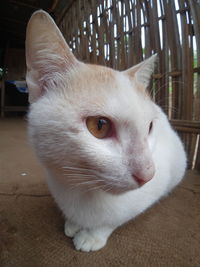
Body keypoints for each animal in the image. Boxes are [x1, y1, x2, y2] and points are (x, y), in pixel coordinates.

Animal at [25, 11, 187, 253]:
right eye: (99, 125)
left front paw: (92, 235)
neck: (81, 192)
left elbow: (112, 221)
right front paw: (73, 224)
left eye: (150, 127)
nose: (148, 175)